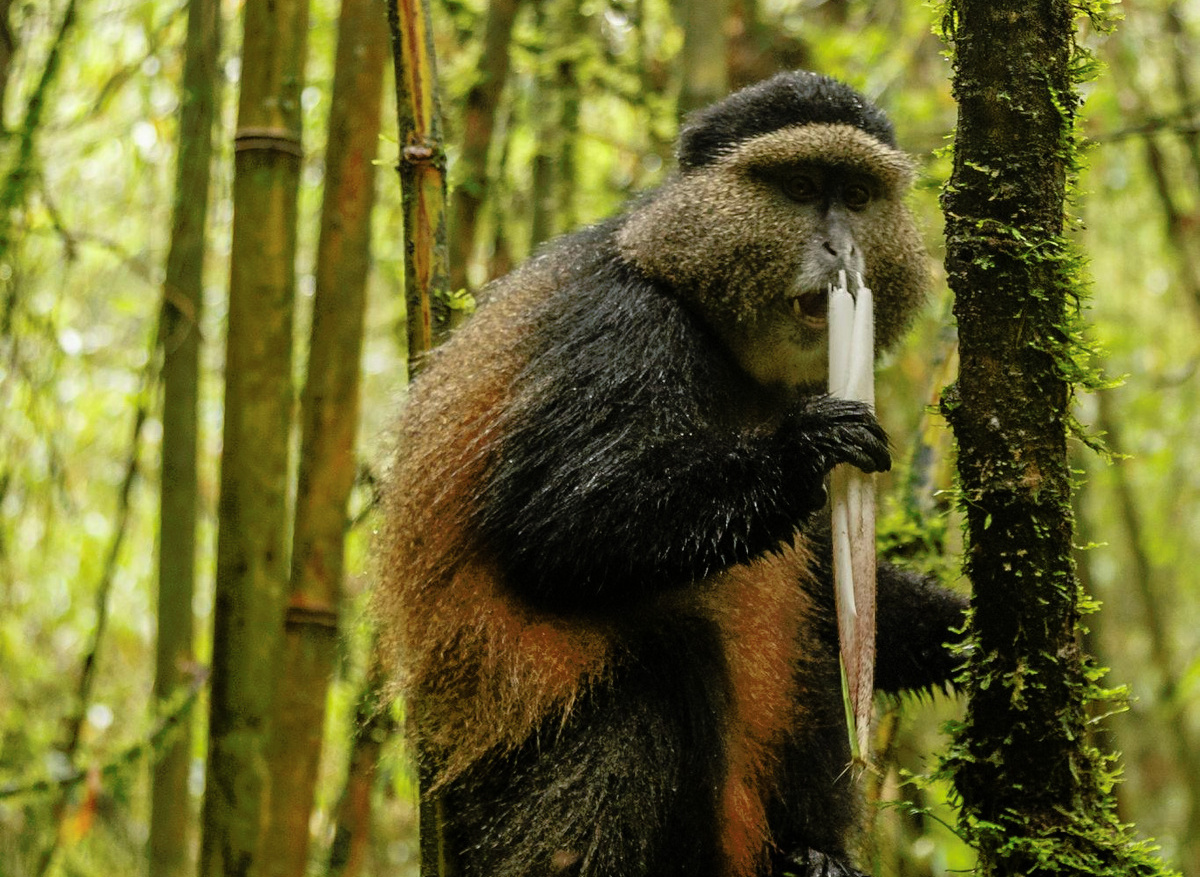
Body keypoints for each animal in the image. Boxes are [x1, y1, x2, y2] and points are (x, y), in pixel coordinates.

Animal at [375, 71, 966, 877]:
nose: (843, 249)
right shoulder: (623, 327)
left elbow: (824, 571)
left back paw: (812, 855)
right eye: (801, 186)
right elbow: (553, 526)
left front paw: (968, 630)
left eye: (858, 195)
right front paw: (804, 450)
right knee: (656, 675)